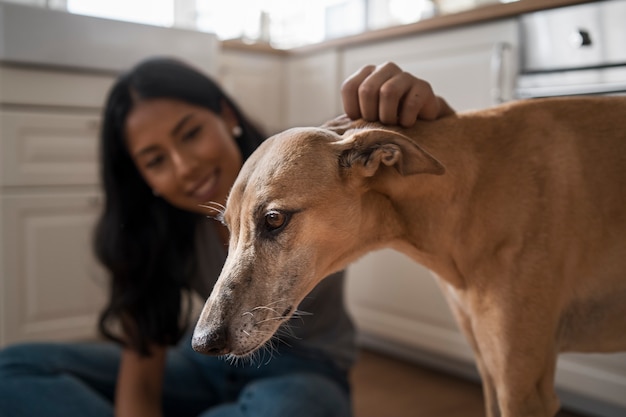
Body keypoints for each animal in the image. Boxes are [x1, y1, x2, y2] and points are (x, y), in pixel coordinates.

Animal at [190, 96, 624, 416]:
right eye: (227, 226)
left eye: (274, 219)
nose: (203, 342)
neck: (469, 190)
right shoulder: (491, 371)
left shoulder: (523, 388)